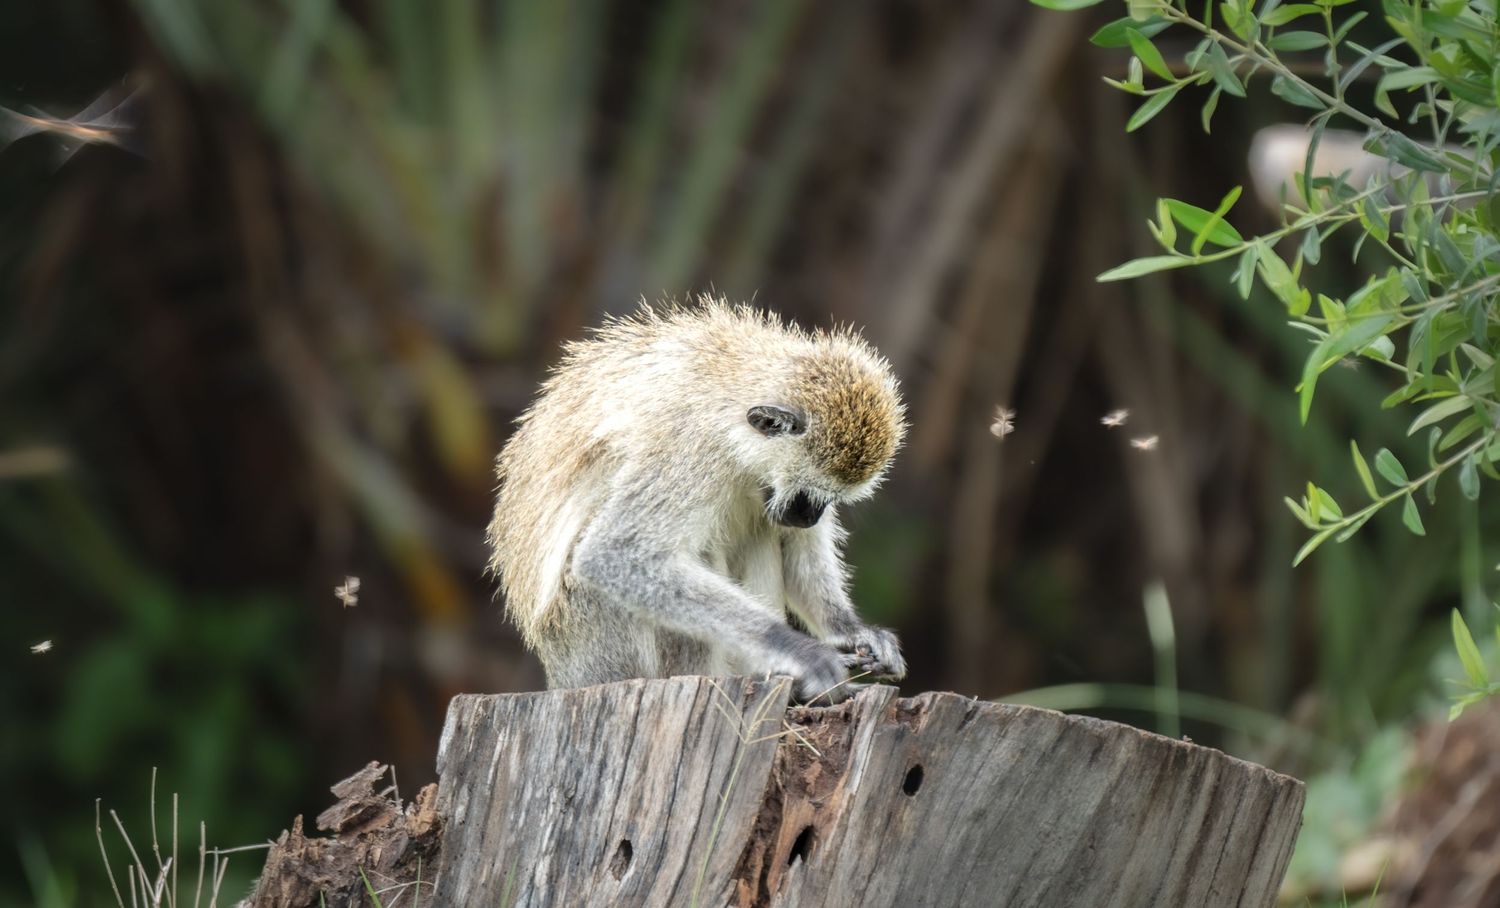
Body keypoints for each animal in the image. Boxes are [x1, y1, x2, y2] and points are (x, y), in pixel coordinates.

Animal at [486, 298, 908, 702]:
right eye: (805, 495)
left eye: (826, 501)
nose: (807, 518)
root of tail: (565, 678)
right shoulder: (688, 448)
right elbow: (613, 554)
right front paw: (794, 647)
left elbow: (791, 545)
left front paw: (850, 630)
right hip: (599, 646)